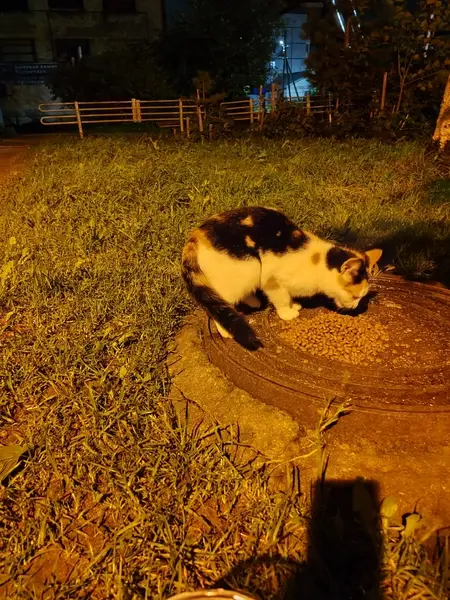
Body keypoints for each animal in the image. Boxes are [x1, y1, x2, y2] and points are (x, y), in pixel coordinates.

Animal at [182, 206, 383, 350]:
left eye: (361, 298)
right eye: (354, 296)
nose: (356, 308)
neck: (316, 263)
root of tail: (196, 235)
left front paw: (295, 305)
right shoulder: (272, 279)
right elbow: (282, 297)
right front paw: (288, 312)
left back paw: (253, 300)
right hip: (251, 265)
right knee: (219, 304)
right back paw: (225, 330)